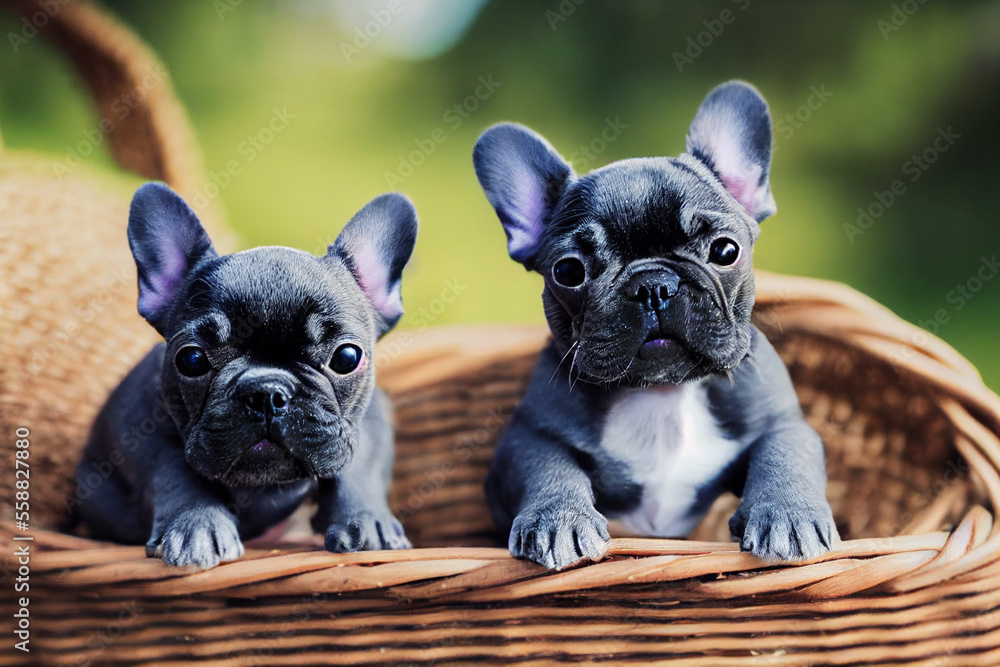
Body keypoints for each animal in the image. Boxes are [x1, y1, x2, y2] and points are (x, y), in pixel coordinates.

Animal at [76, 183, 416, 568]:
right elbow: (176, 471)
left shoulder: (370, 419)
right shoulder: (143, 430)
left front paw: (367, 522)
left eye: (346, 357)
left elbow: (358, 467)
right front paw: (196, 526)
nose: (267, 392)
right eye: (191, 359)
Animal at [472, 81, 840, 572]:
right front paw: (559, 520)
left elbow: (784, 454)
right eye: (568, 271)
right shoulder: (526, 437)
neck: (662, 393)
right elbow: (548, 466)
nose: (653, 285)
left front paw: (788, 514)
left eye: (725, 251)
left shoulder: (784, 422)